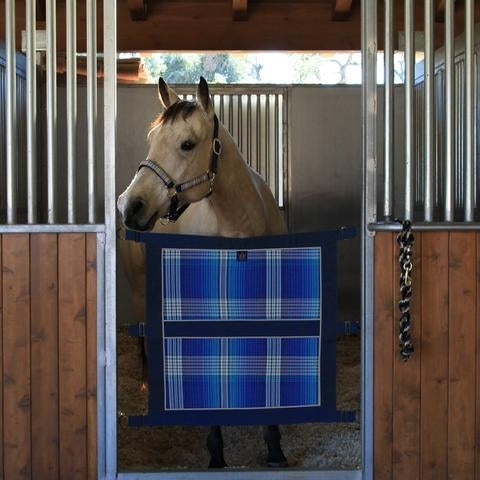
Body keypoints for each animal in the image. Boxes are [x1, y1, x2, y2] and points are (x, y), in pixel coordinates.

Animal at [116, 78, 288, 468]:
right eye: (152, 138)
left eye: (186, 144)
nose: (129, 206)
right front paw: (216, 452)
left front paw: (274, 446)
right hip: (141, 291)